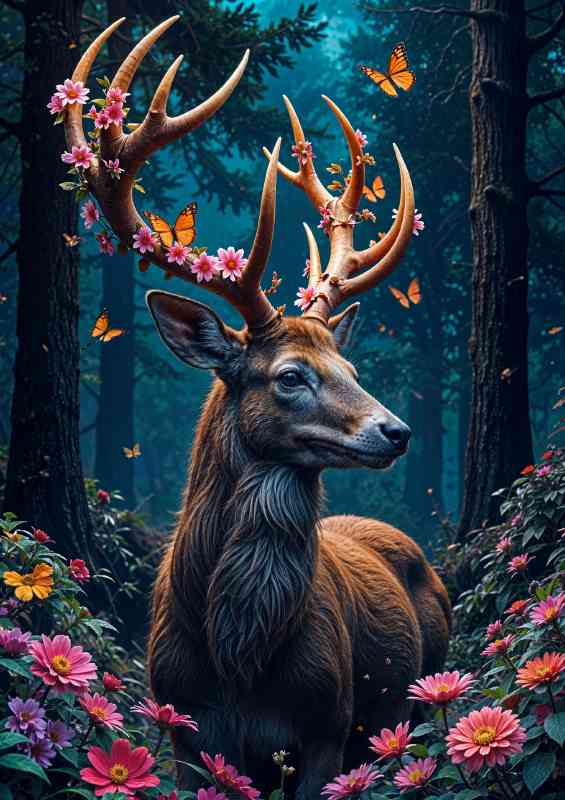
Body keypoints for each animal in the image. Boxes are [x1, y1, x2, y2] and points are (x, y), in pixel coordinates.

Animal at [65, 16, 451, 799]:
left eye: (352, 368)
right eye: (290, 376)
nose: (395, 430)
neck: (239, 667)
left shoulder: (328, 724)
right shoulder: (180, 726)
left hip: (419, 699)